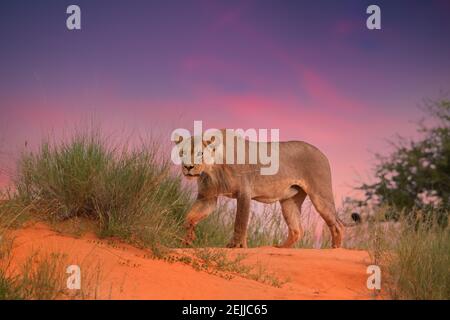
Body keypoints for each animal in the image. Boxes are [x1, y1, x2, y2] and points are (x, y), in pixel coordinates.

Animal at [173, 129, 344, 249]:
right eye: (181, 152)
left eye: (200, 153)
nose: (188, 167)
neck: (211, 169)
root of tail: (321, 152)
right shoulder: (207, 198)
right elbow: (190, 217)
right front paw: (186, 238)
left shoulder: (244, 192)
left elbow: (240, 221)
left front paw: (236, 246)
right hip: (289, 201)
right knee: (297, 230)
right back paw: (280, 248)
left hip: (320, 195)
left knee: (338, 224)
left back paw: (334, 249)